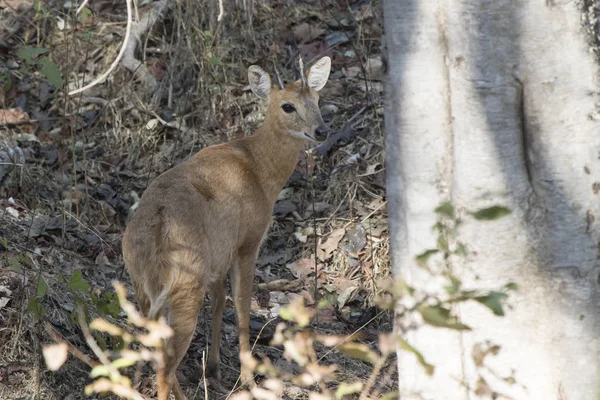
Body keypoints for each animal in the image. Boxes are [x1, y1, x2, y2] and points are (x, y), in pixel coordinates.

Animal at [122, 56, 332, 400]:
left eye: (316, 99)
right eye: (287, 106)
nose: (321, 130)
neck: (260, 171)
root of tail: (153, 231)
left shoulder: (219, 255)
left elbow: (220, 302)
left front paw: (215, 368)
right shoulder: (247, 241)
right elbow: (243, 308)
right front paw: (247, 379)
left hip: (142, 286)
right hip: (185, 283)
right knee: (164, 366)